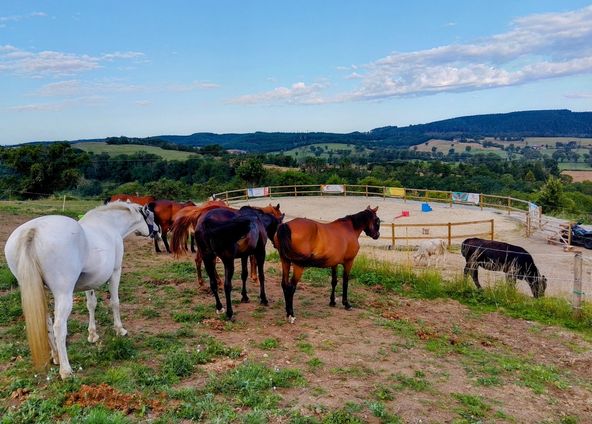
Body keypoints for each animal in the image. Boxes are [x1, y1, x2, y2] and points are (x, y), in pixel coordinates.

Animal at [4, 200, 157, 380]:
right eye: (151, 216)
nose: (156, 231)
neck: (108, 225)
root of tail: (33, 231)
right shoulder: (115, 272)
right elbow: (115, 302)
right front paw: (120, 330)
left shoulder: (89, 283)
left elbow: (91, 304)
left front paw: (92, 335)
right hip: (63, 294)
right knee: (59, 327)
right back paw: (66, 370)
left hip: (40, 293)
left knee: (46, 322)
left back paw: (56, 357)